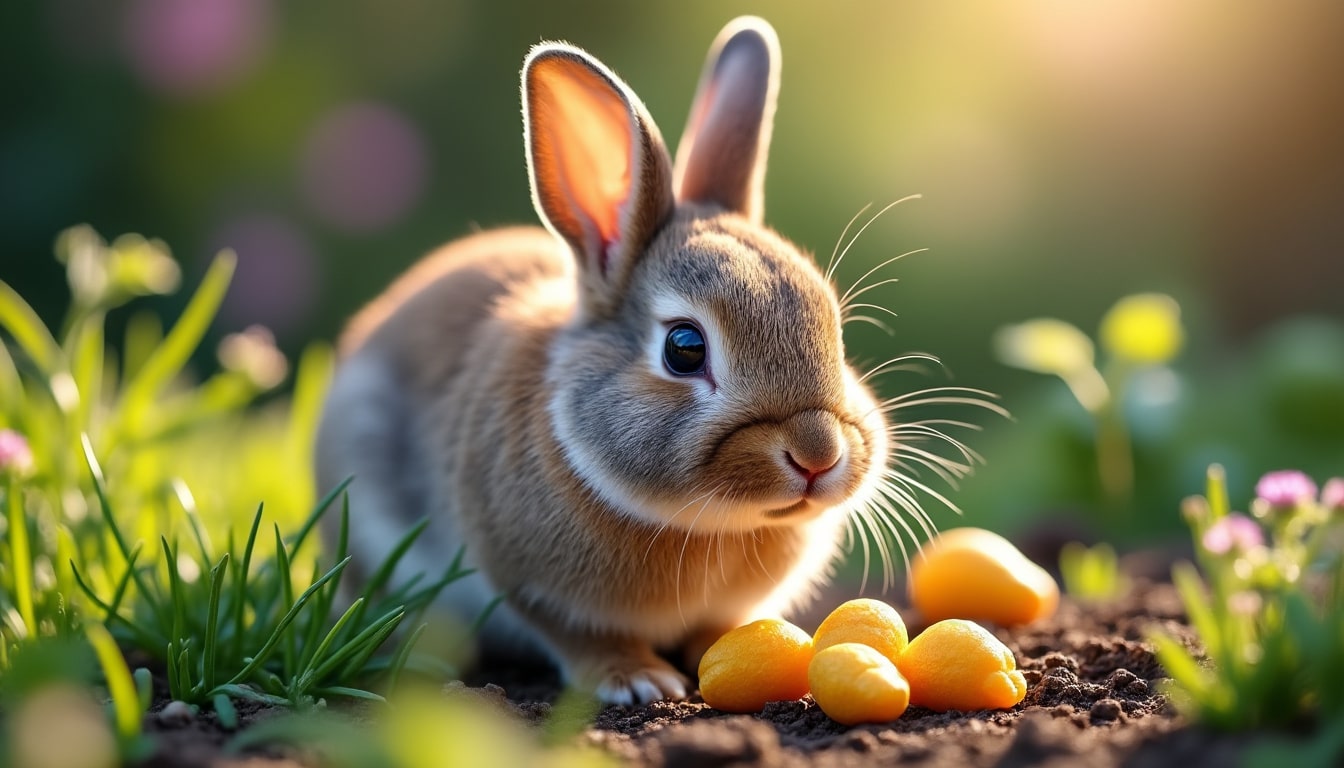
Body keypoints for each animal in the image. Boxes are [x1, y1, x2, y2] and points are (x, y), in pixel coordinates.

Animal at [315, 16, 897, 706]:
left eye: (835, 327)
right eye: (684, 348)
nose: (817, 456)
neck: (706, 525)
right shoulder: (525, 580)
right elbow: (576, 633)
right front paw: (639, 680)